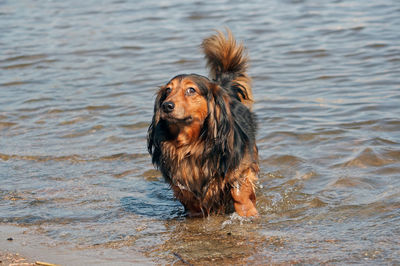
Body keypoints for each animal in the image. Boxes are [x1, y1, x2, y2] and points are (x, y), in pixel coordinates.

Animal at [147, 29, 260, 216]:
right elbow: (191, 200)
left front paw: (247, 212)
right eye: (168, 91)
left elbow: (239, 192)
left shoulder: (241, 165)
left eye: (191, 90)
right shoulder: (182, 184)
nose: (166, 106)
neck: (191, 145)